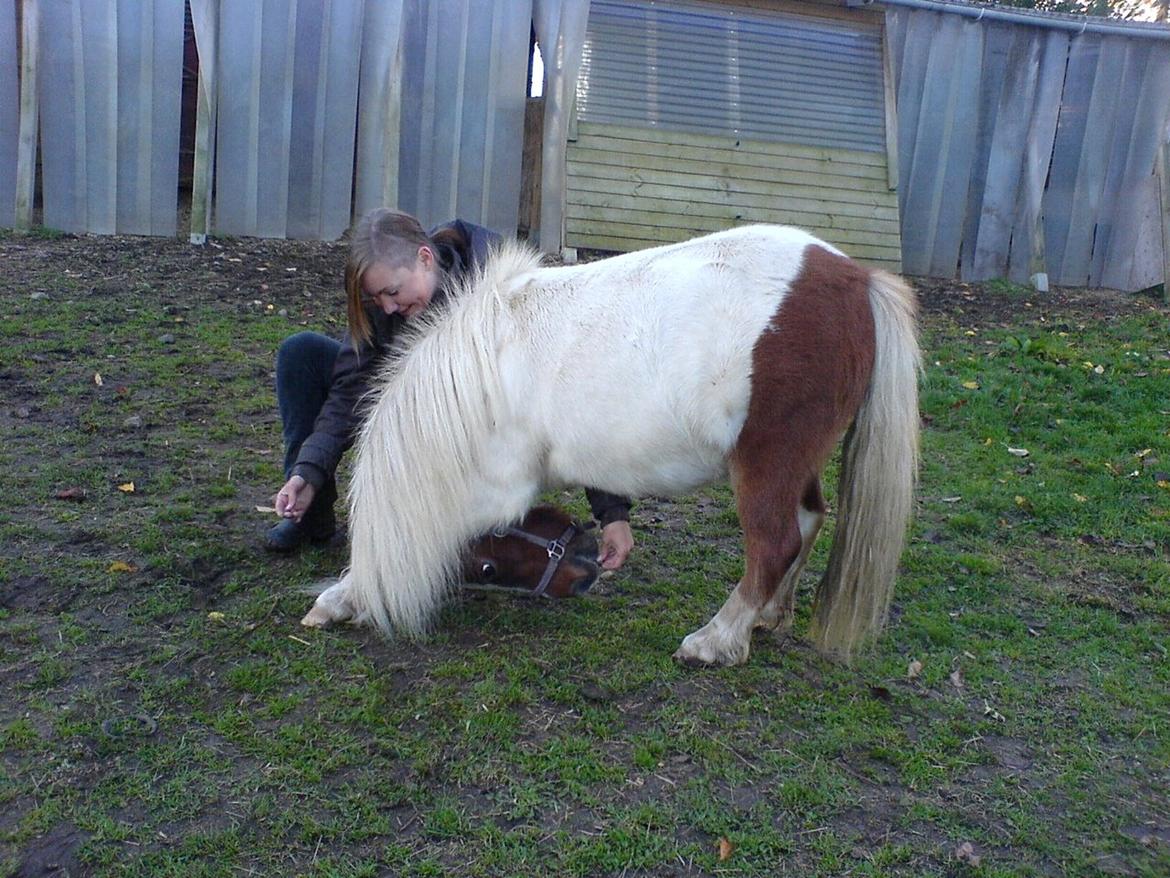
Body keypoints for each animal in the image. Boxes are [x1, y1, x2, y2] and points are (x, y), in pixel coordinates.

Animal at [304, 227, 921, 664]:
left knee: (775, 543)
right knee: (810, 519)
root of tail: (858, 279)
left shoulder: (489, 492)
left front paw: (342, 598)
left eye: (486, 569)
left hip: (768, 458)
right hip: (796, 460)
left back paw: (716, 641)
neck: (476, 378)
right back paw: (767, 617)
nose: (586, 567)